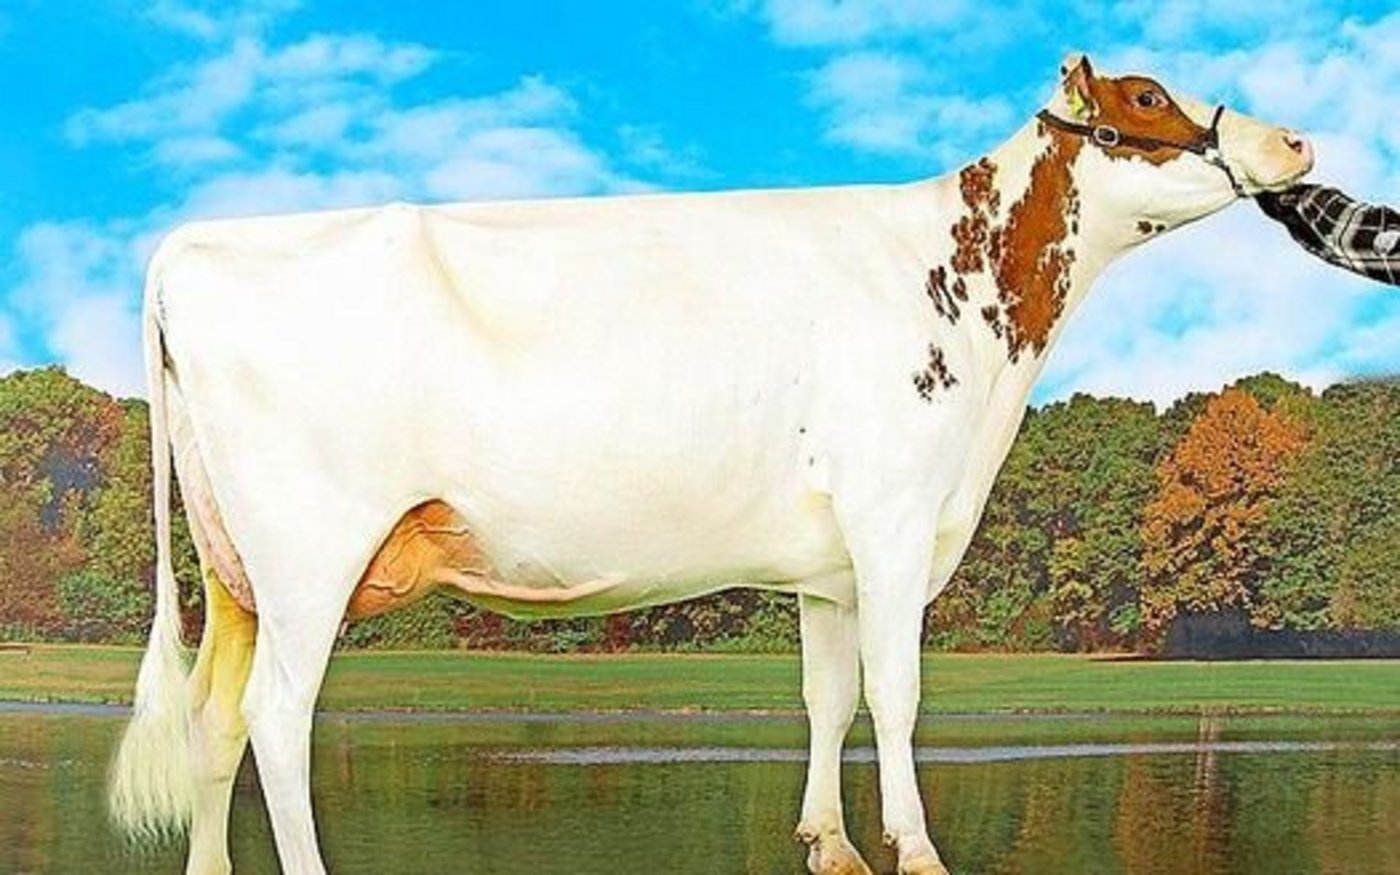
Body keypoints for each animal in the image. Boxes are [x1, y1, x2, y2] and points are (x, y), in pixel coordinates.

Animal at [110, 54, 1313, 875]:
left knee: (216, 716)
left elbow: (829, 693)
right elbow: (896, 691)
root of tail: (195, 244)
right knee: (275, 717)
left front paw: (829, 840)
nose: (1296, 144)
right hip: (308, 554)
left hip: (235, 570)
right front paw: (917, 846)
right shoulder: (891, 515)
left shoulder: (832, 562)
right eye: (1147, 97)